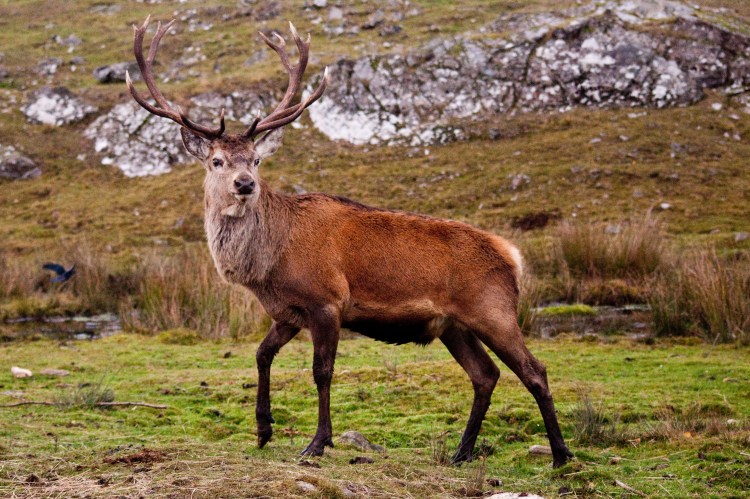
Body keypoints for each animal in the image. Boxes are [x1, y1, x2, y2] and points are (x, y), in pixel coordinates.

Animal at [126, 16, 573, 467]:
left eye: (256, 159)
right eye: (217, 161)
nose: (245, 184)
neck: (266, 266)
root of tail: (511, 254)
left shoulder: (326, 301)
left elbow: (321, 371)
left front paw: (318, 442)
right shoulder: (288, 311)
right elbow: (261, 354)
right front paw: (263, 430)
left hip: (493, 310)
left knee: (534, 371)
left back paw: (560, 455)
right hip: (454, 326)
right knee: (485, 375)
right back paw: (461, 452)